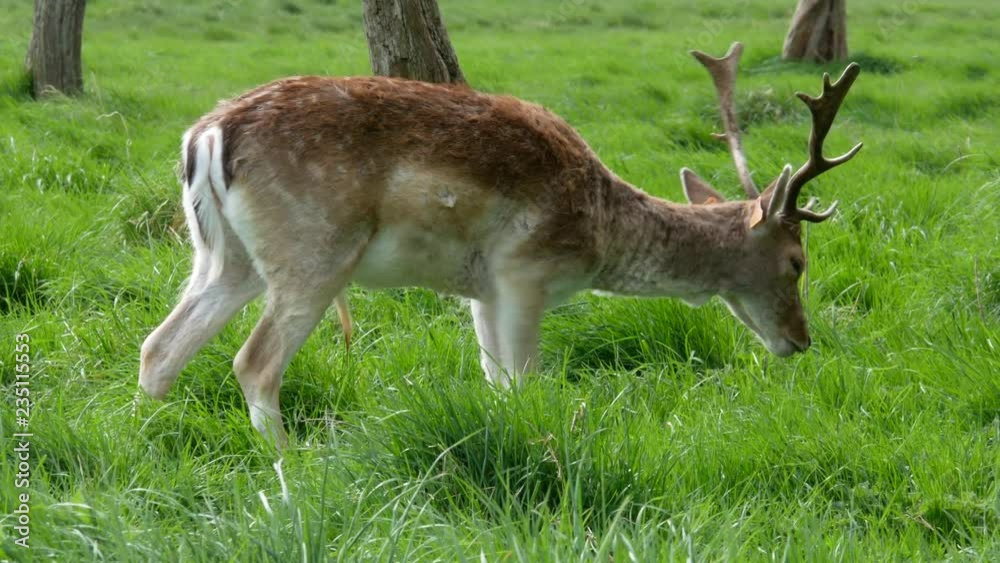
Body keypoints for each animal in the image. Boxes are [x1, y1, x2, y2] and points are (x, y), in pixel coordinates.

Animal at [138, 42, 862, 447]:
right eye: (797, 261)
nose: (801, 339)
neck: (598, 232)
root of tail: (206, 135)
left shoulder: (480, 292)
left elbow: (494, 385)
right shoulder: (524, 273)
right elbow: (523, 381)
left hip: (224, 258)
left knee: (159, 348)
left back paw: (150, 449)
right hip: (313, 252)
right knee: (253, 362)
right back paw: (292, 468)